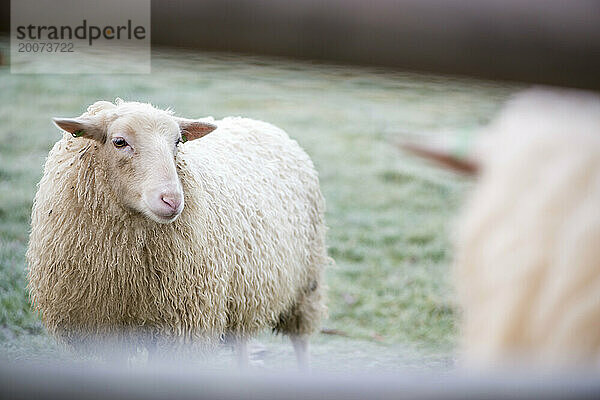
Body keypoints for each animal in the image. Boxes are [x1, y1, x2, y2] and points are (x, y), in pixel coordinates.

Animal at [27, 98, 328, 368]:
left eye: (177, 142)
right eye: (119, 141)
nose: (172, 200)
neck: (127, 271)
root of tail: (256, 122)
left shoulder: (180, 327)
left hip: (306, 283)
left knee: (301, 341)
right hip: (241, 293)